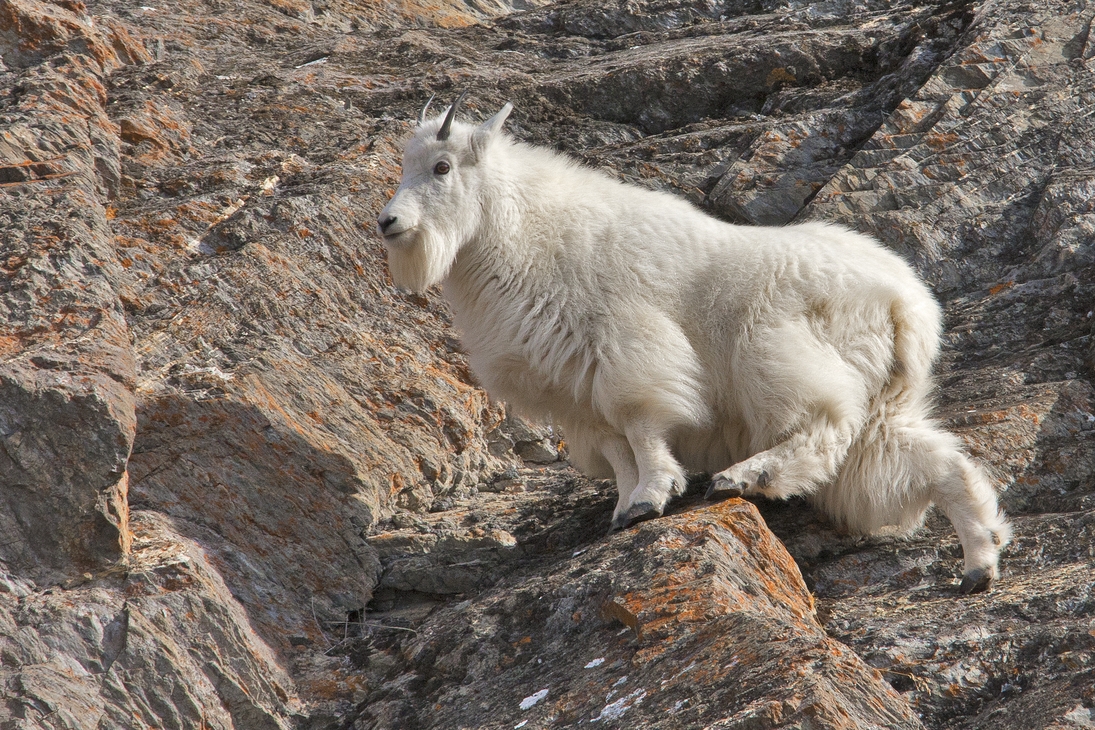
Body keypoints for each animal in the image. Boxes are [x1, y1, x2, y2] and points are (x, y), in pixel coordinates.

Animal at [376, 93, 1007, 595]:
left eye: (441, 166)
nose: (388, 223)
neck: (520, 233)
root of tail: (910, 305)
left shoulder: (629, 351)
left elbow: (642, 426)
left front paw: (654, 494)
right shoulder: (578, 396)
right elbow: (616, 450)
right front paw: (625, 507)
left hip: (777, 351)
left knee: (825, 423)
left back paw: (745, 476)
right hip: (884, 400)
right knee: (930, 462)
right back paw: (980, 561)